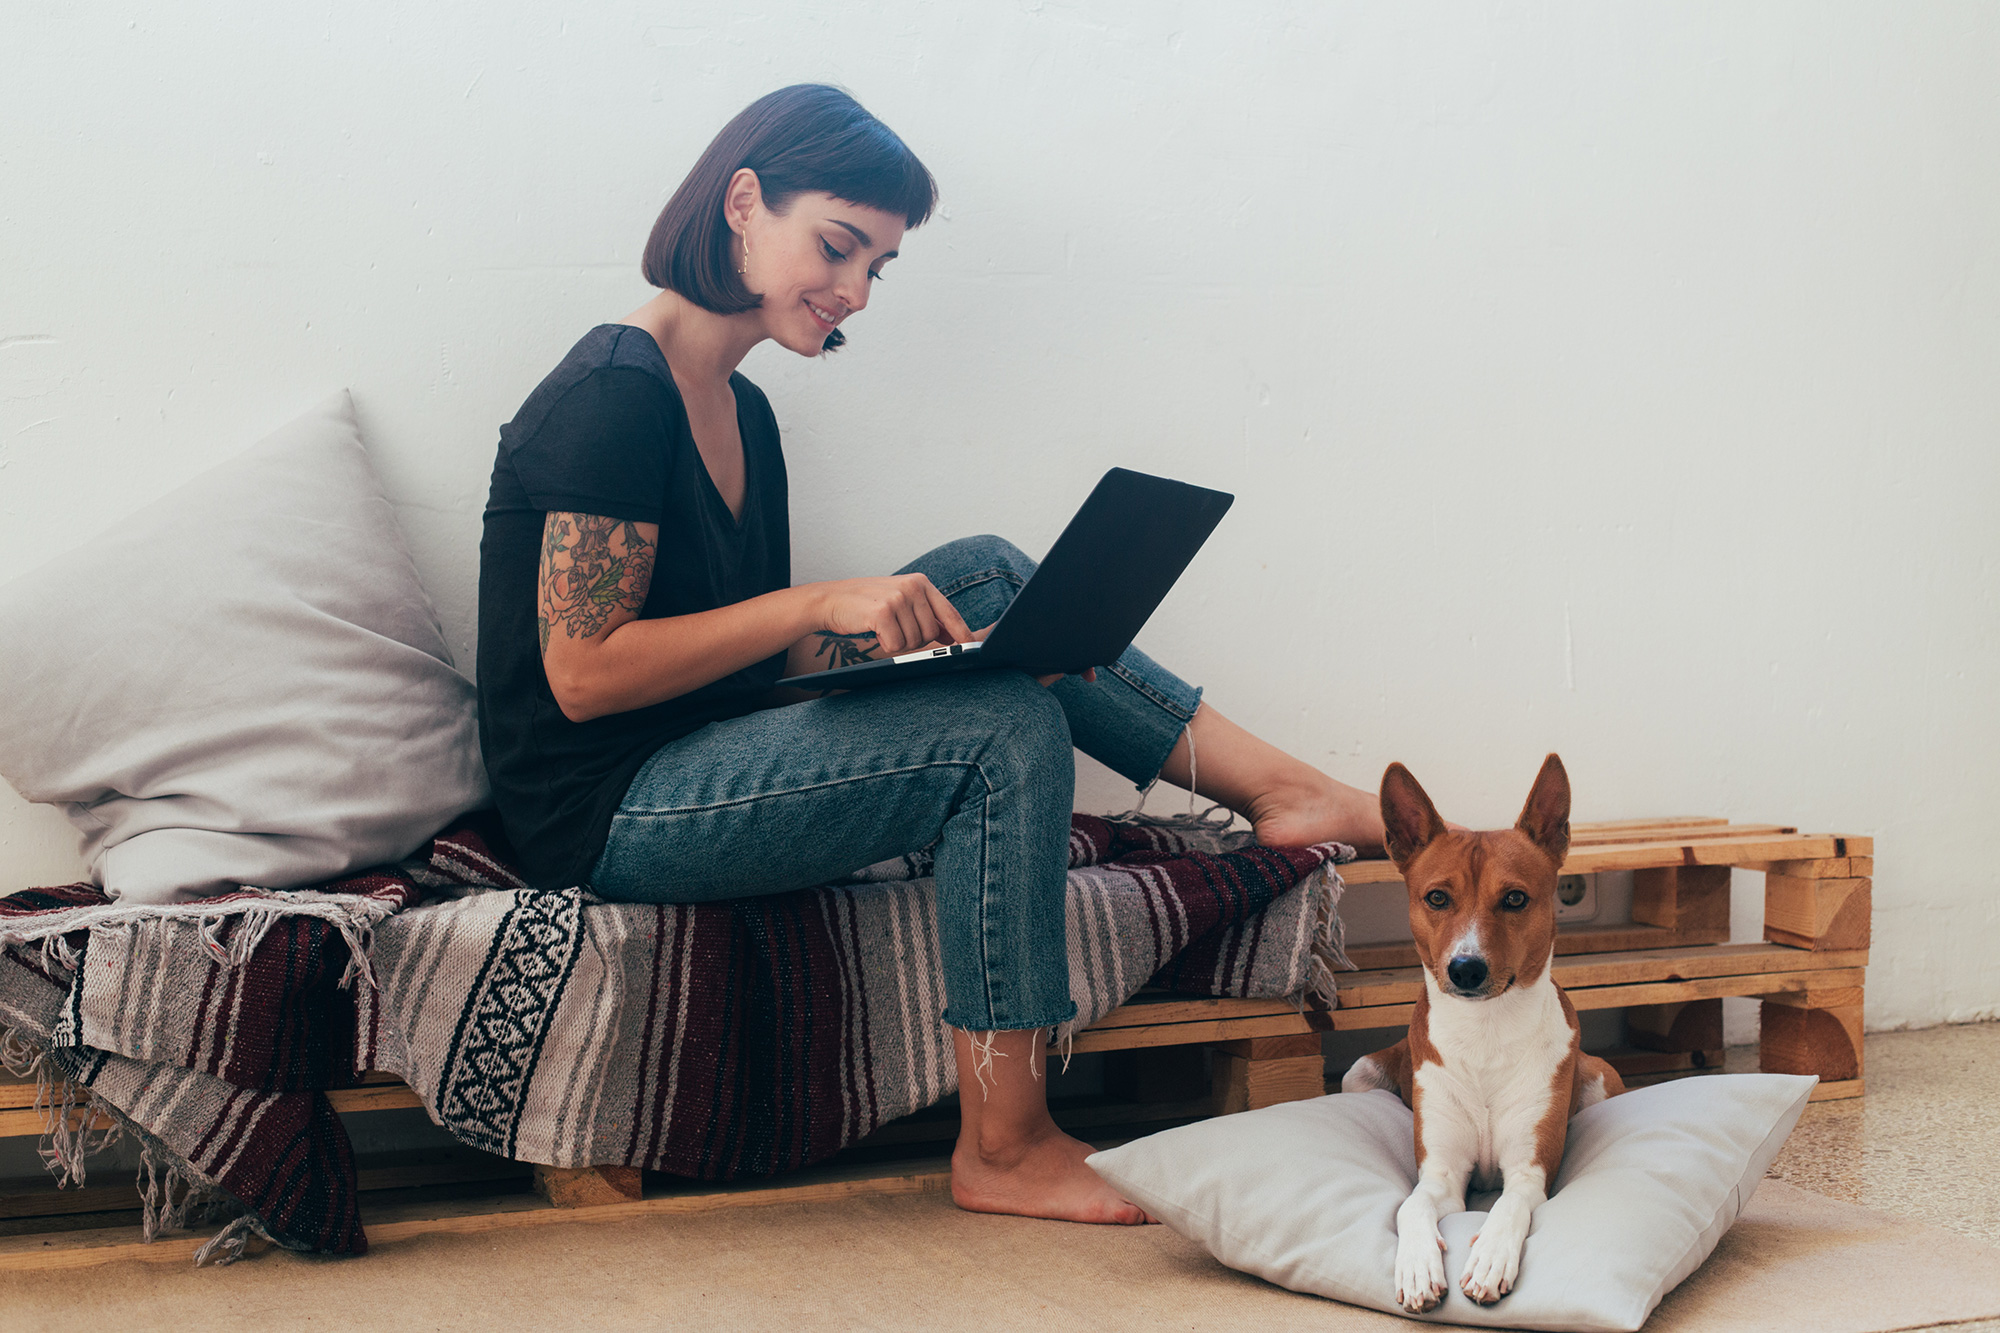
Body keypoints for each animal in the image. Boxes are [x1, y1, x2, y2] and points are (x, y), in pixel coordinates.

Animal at [1336, 752, 1616, 1304]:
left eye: (1515, 899)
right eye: (1437, 898)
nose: (1466, 969)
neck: (1486, 1033)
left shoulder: (1529, 1171)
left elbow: (1508, 1207)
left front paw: (1489, 1258)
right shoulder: (1441, 1175)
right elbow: (1411, 1206)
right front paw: (1417, 1267)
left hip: (1600, 1078)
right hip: (1358, 1074)